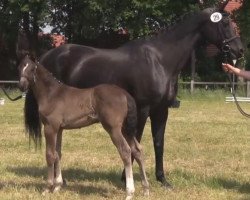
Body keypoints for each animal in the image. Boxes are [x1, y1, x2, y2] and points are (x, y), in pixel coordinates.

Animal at [23, 6, 242, 188]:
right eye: (225, 23)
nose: (238, 50)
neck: (160, 60)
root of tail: (45, 57)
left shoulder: (161, 110)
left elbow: (158, 143)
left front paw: (162, 180)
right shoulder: (142, 109)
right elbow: (135, 140)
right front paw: (125, 178)